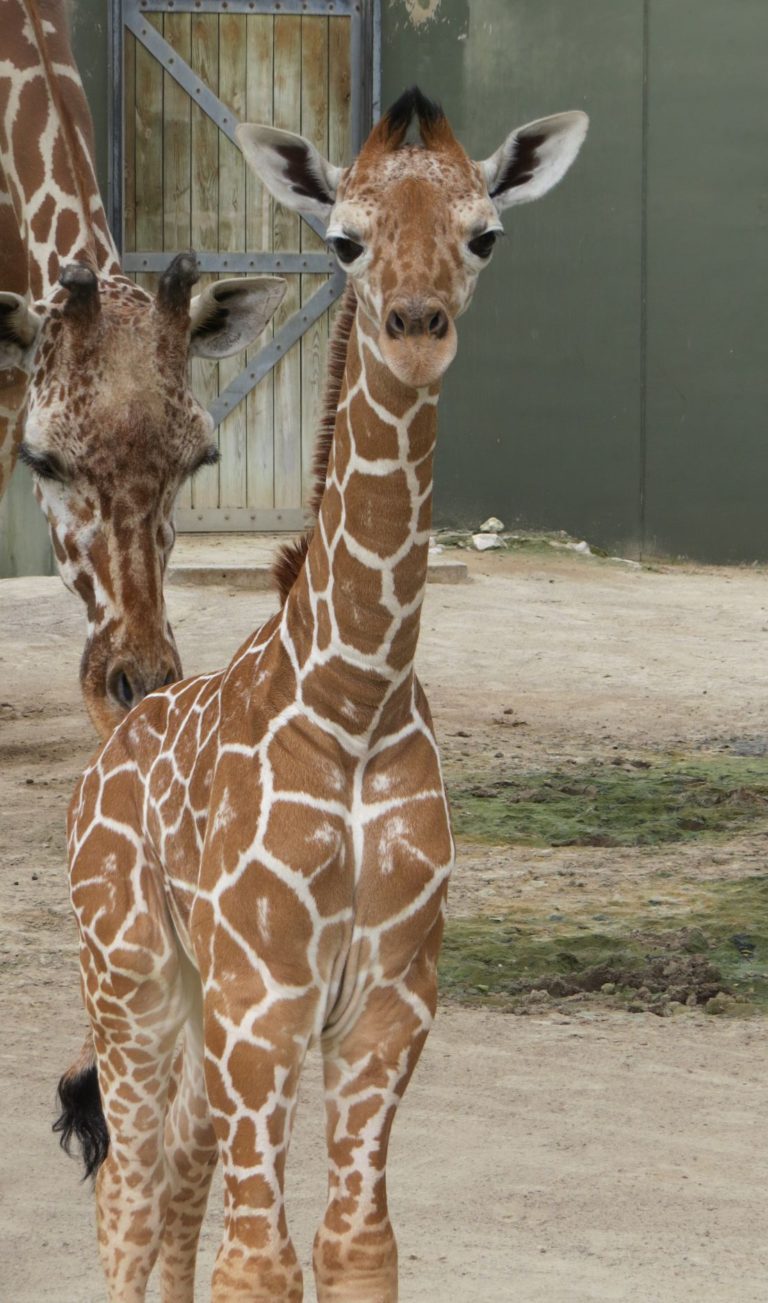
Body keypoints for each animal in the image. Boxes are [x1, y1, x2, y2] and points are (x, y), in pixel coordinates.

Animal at [57, 88, 588, 1301]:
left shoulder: (389, 1007)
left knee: (175, 1181)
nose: (415, 324)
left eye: (486, 234)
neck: (353, 695)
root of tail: (116, 723)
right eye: (343, 238)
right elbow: (259, 1262)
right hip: (132, 981)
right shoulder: (265, 1005)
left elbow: (355, 1246)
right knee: (127, 1188)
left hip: (194, 1004)